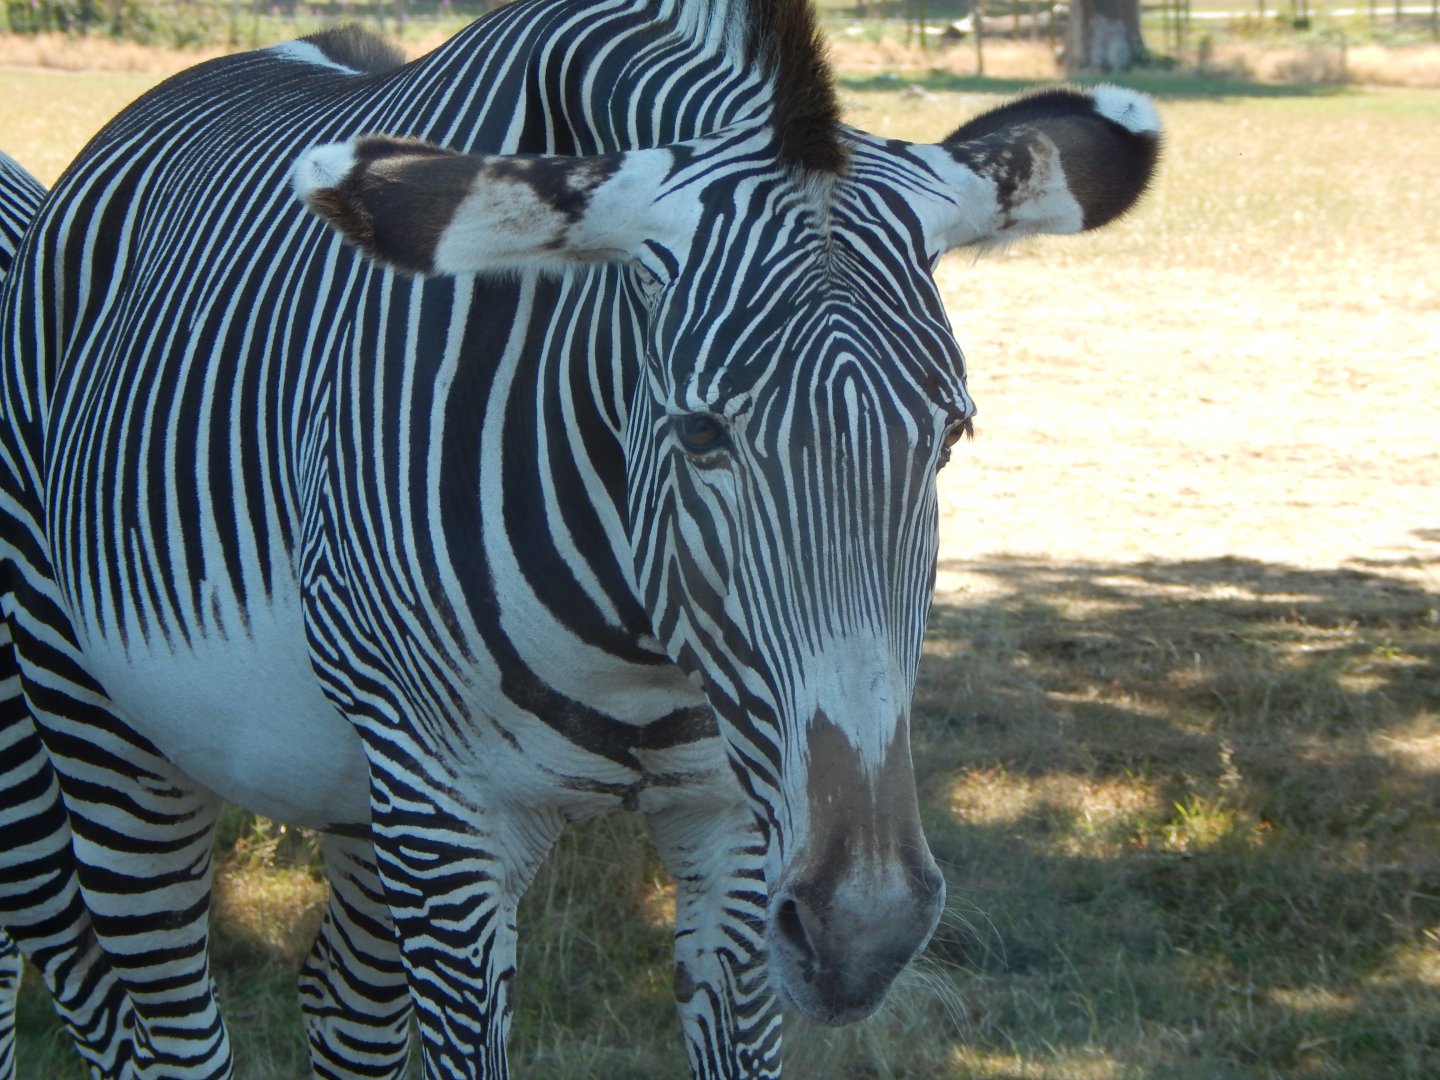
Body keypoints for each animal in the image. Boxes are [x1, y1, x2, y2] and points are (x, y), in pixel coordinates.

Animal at [0, 0, 1160, 1076]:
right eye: (699, 434)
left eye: (952, 436)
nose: (862, 936)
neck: (638, 635)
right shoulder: (448, 824)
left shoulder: (735, 817)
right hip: (85, 729)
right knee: (130, 1002)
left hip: (353, 787)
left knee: (340, 1001)